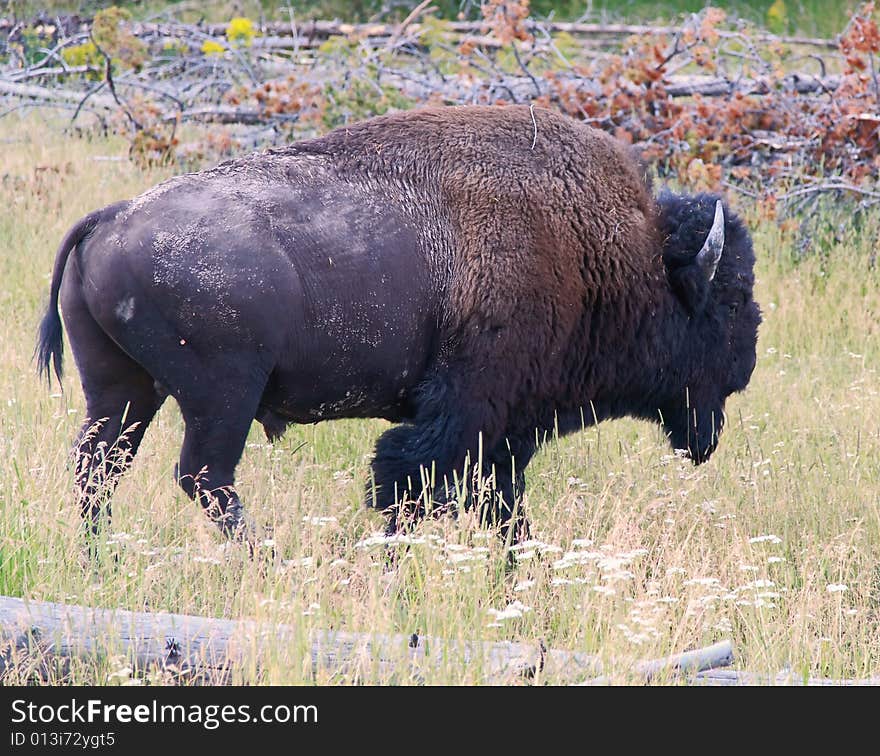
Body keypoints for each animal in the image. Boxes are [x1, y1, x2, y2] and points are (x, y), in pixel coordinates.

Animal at [37, 105, 760, 544]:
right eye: (726, 303)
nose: (745, 367)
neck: (607, 250)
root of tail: (112, 216)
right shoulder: (466, 417)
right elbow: (409, 487)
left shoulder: (502, 435)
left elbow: (500, 505)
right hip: (222, 394)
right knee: (203, 477)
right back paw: (267, 558)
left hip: (121, 387)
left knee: (98, 468)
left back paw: (102, 561)